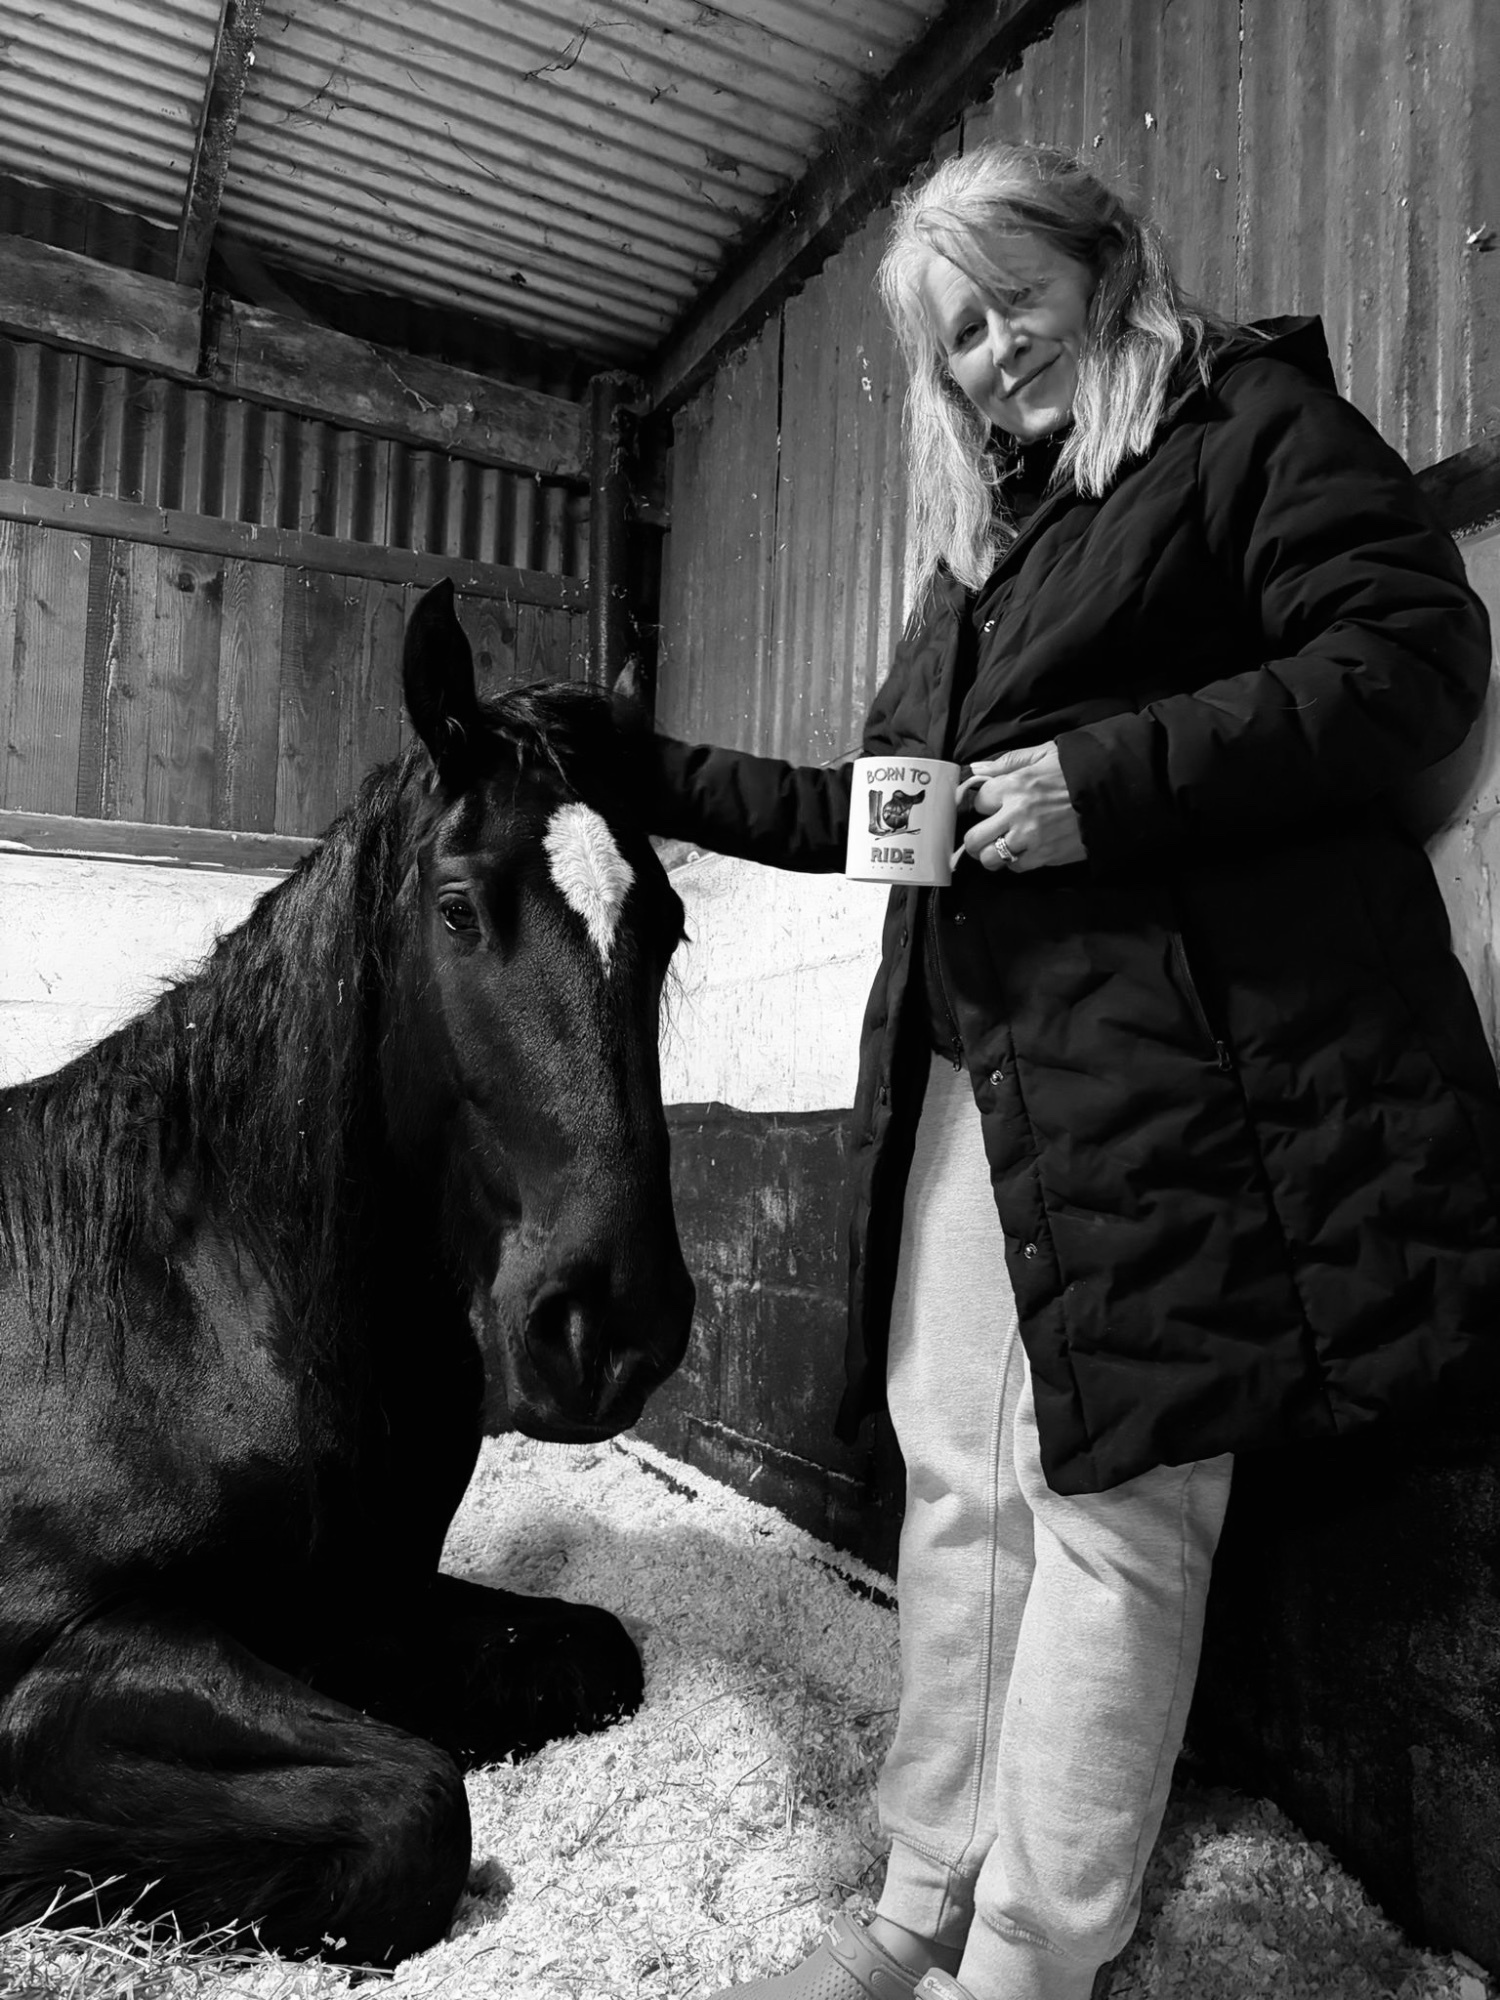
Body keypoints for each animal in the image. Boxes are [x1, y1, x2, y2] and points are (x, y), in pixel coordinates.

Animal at [0, 579, 696, 1965]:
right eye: (458, 906)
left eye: (668, 922)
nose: (610, 1328)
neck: (197, 1307)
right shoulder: (78, 1647)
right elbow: (419, 1803)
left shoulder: (374, 1597)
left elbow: (588, 1656)